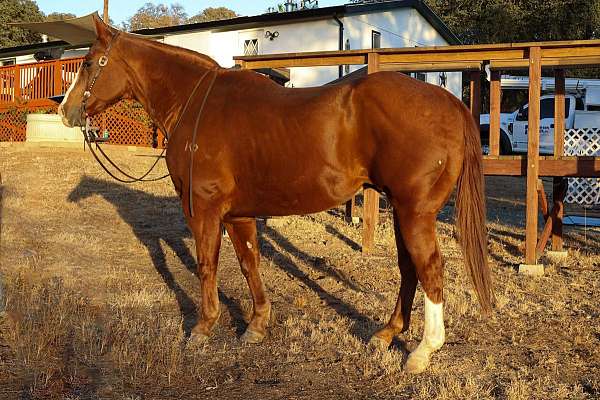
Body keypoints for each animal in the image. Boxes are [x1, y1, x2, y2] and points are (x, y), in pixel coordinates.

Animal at [59, 14, 492, 374]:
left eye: (88, 63)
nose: (65, 111)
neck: (197, 104)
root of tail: (449, 101)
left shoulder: (204, 209)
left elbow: (206, 266)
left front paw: (202, 328)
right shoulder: (237, 214)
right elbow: (249, 263)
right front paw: (256, 325)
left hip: (415, 211)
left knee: (430, 268)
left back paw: (422, 351)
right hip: (404, 211)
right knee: (409, 268)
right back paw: (386, 334)